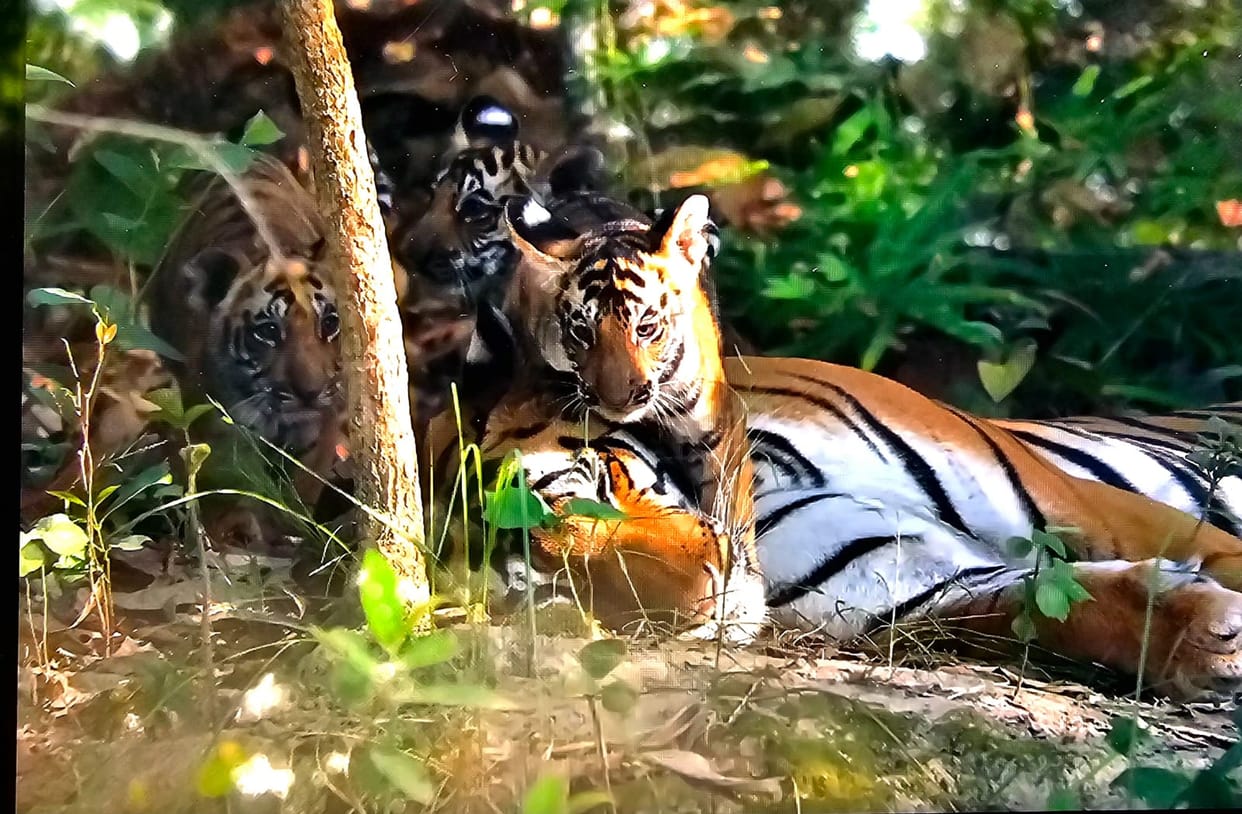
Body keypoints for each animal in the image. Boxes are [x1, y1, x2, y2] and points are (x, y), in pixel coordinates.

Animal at [423, 186, 1242, 697]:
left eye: (593, 486)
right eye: (554, 593)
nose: (707, 591)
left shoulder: (1064, 498)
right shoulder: (912, 585)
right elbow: (1048, 606)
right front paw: (1201, 635)